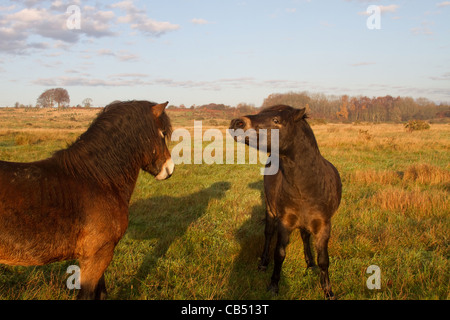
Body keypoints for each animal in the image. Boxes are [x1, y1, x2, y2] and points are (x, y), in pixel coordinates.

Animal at [230, 105, 342, 300]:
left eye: (276, 120)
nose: (237, 122)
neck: (309, 188)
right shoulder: (284, 223)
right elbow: (279, 254)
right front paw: (274, 285)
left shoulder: (323, 226)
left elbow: (323, 260)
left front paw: (327, 290)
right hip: (270, 211)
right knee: (268, 234)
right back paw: (263, 263)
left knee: (305, 236)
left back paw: (309, 263)